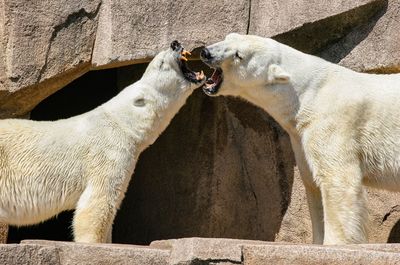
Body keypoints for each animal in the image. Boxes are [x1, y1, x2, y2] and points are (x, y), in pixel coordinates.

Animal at [202, 32, 400, 243]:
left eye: (239, 55)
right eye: (227, 37)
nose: (206, 52)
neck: (308, 95)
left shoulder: (332, 124)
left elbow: (338, 180)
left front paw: (334, 243)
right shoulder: (300, 138)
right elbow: (313, 186)